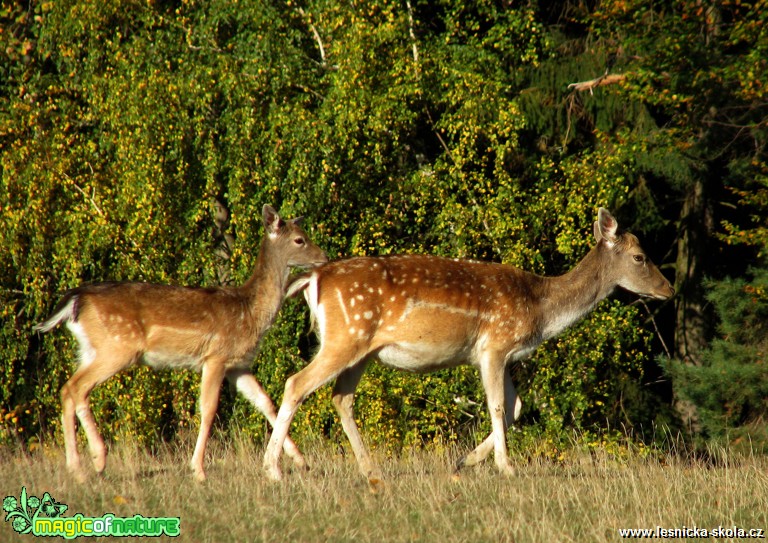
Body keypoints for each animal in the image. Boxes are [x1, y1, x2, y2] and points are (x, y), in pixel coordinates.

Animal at [34, 203, 328, 480]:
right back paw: (89, 463)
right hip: (117, 347)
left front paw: (300, 461)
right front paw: (198, 470)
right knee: (76, 388)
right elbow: (208, 409)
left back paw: (85, 464)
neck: (249, 312)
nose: (324, 257)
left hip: (89, 349)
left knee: (69, 389)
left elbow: (266, 403)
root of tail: (75, 300)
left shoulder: (238, 365)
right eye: (300, 239)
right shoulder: (216, 356)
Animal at [264, 208, 672, 484]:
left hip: (362, 349)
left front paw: (464, 463)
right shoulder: (494, 345)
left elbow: (515, 407)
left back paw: (370, 470)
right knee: (296, 383)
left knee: (340, 398)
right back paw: (274, 469)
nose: (668, 288)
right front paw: (507, 467)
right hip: (345, 336)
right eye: (640, 257)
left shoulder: (501, 355)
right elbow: (497, 406)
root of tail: (313, 278)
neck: (540, 308)